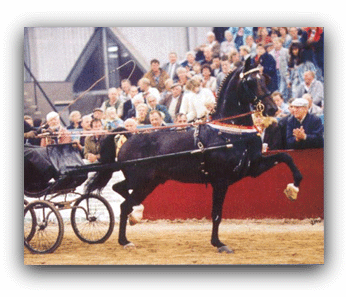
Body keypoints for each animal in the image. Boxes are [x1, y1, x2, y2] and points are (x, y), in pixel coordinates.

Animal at [87, 59, 302, 253]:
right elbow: (216, 214)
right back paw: (125, 239)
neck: (229, 132)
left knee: (121, 192)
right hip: (141, 181)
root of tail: (131, 136)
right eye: (250, 81)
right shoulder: (220, 180)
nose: (272, 108)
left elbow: (286, 157)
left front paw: (293, 189)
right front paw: (219, 244)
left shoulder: (253, 167)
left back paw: (134, 218)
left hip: (149, 182)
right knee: (124, 203)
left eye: (264, 79)